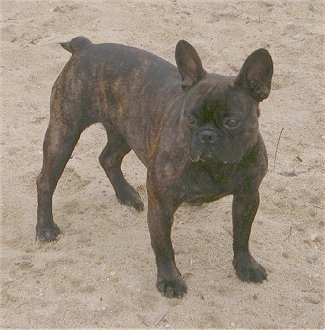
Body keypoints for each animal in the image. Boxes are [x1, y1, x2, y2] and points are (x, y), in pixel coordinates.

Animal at [36, 36, 272, 300]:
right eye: (190, 118)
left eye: (232, 121)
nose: (207, 135)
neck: (214, 166)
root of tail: (86, 46)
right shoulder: (161, 204)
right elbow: (163, 245)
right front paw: (169, 280)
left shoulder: (248, 196)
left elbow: (242, 235)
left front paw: (245, 265)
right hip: (64, 133)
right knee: (45, 181)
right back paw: (45, 227)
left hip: (126, 130)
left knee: (108, 158)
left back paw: (126, 194)